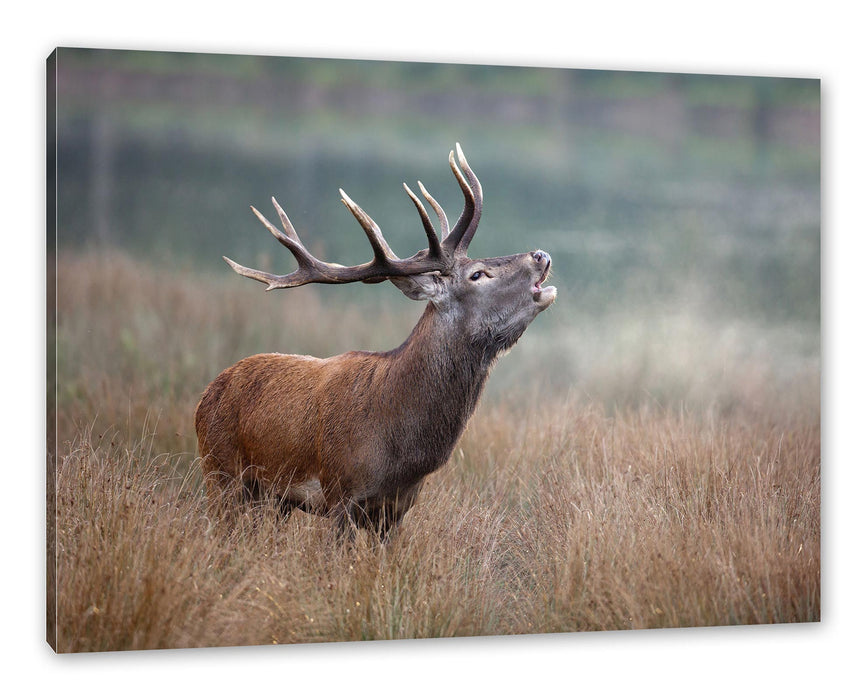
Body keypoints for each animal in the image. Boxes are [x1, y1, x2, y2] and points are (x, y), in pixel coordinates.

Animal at [196, 145, 556, 540]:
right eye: (477, 274)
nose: (540, 255)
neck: (401, 448)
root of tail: (206, 394)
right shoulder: (341, 493)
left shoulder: (397, 510)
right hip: (220, 471)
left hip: (275, 499)